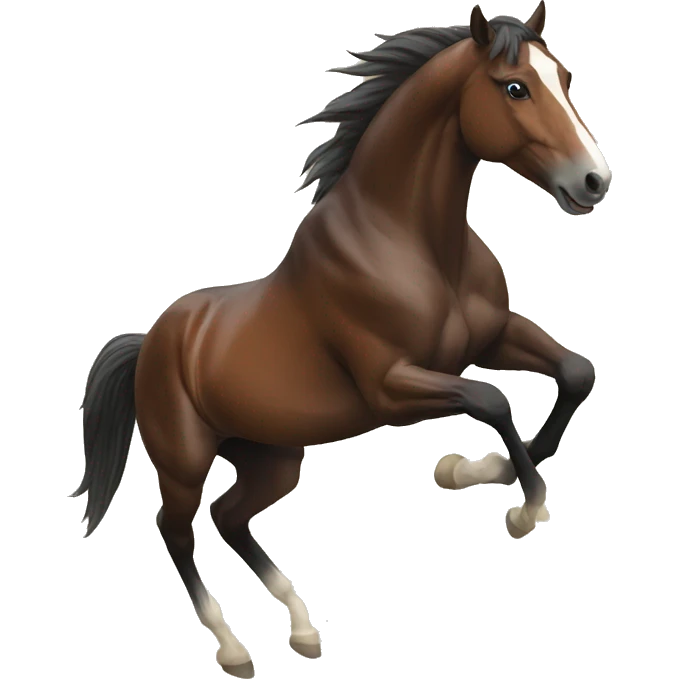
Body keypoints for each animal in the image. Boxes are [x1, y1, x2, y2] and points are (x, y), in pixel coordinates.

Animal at [74, 4, 609, 676]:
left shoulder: (491, 340)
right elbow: (491, 399)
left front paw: (476, 470)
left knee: (229, 518)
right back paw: (233, 648)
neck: (412, 242)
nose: (595, 181)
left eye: (564, 76)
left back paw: (303, 629)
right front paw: (523, 503)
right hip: (184, 461)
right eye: (514, 87)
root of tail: (149, 342)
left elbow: (575, 372)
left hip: (271, 457)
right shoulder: (390, 387)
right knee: (176, 529)